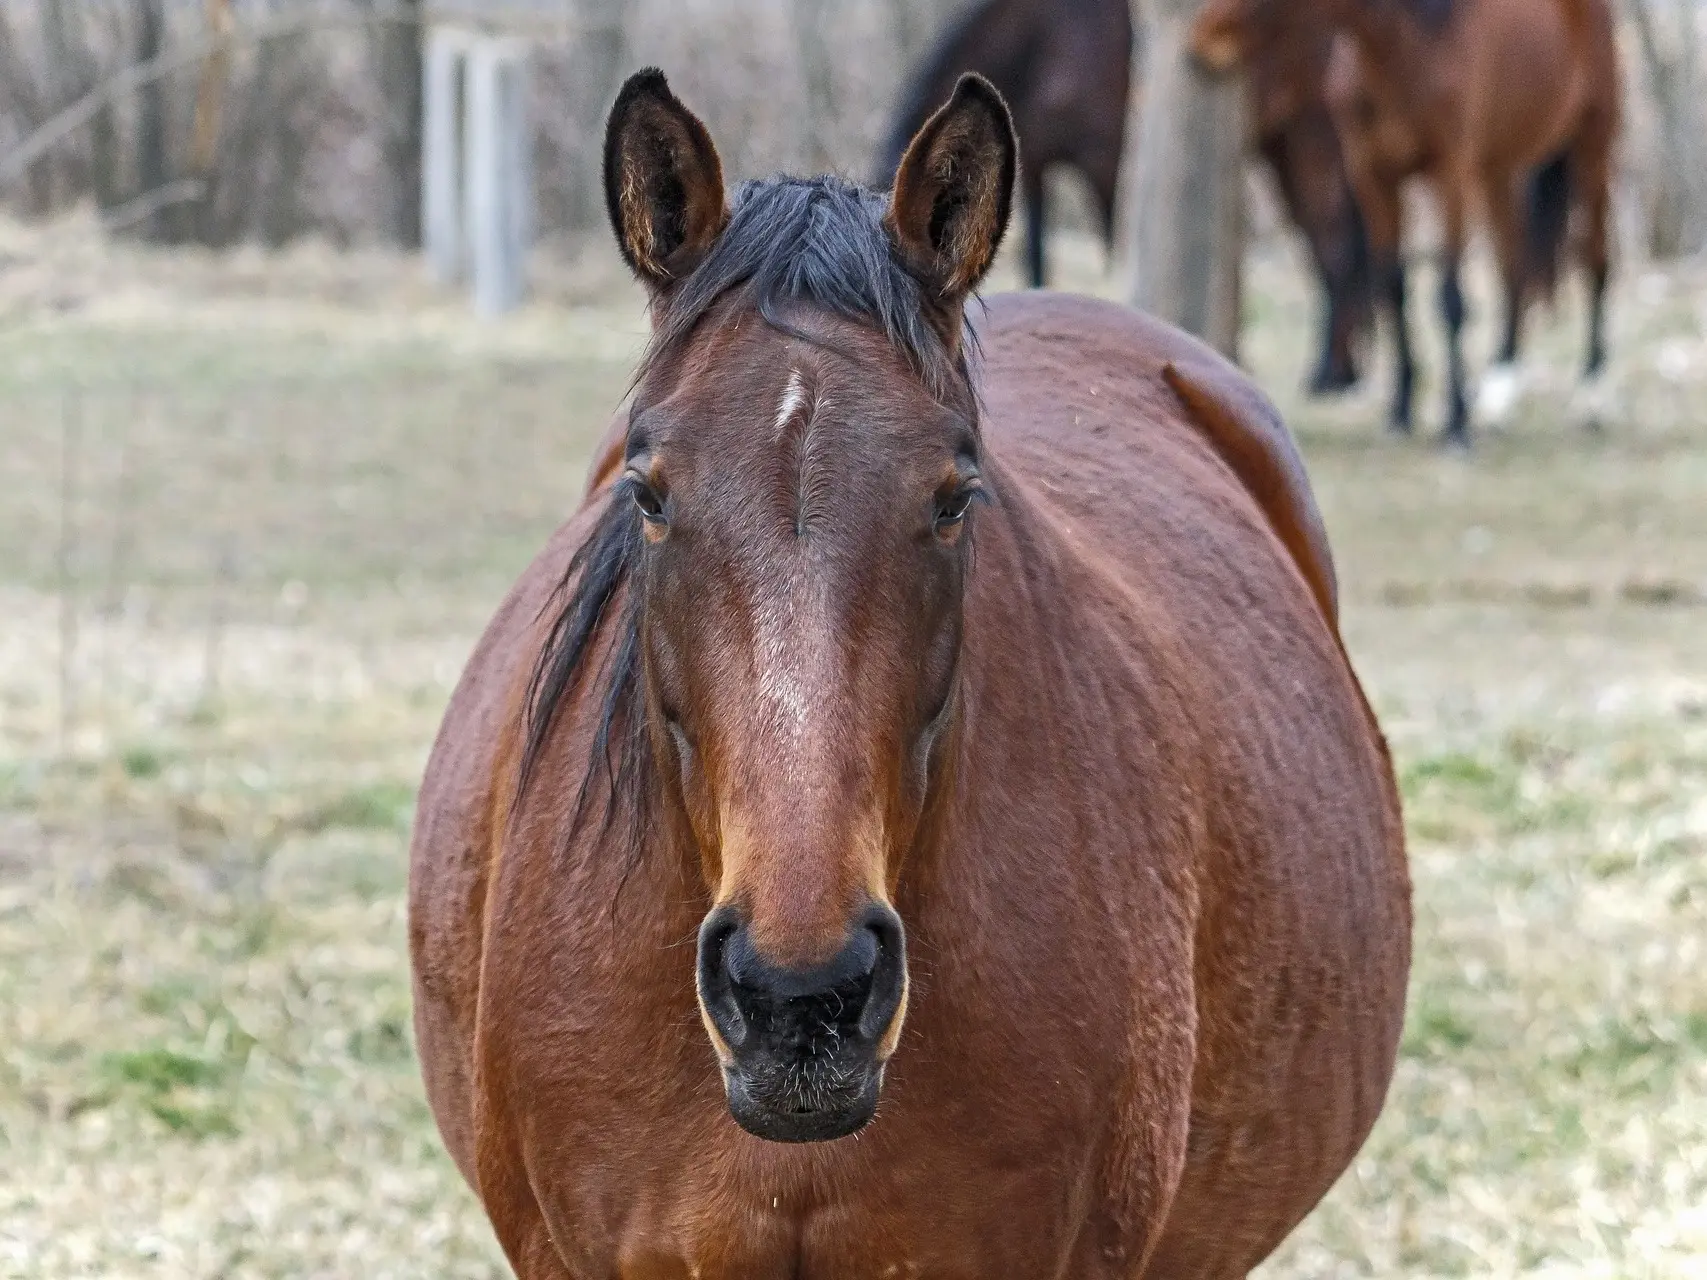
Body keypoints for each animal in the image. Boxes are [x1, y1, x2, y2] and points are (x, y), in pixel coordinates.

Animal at [880, 0, 1372, 395]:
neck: (1043, 43)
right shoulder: (1037, 166)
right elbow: (1037, 251)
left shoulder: (1103, 157)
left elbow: (1113, 241)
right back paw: (1337, 373)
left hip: (1316, 140)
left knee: (1337, 244)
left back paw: (1335, 376)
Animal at [1194, 0, 1618, 447]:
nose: (1204, 36)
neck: (1402, 48)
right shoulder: (1374, 178)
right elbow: (1392, 285)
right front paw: (1400, 412)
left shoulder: (1450, 175)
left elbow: (1449, 297)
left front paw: (1456, 425)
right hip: (1497, 170)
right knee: (1513, 269)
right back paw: (1498, 394)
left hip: (1593, 145)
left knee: (1595, 262)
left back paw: (1592, 398)